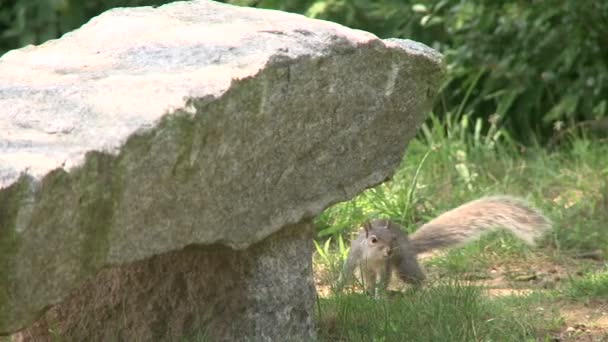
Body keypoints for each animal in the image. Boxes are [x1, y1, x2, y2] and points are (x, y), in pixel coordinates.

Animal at [338, 196, 552, 296]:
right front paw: (338, 289)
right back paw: (366, 292)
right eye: (373, 239)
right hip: (365, 271)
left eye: (393, 238)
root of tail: (410, 245)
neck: (374, 257)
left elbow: (383, 280)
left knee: (419, 279)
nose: (390, 251)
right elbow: (346, 272)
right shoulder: (355, 256)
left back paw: (411, 290)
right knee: (367, 279)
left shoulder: (387, 265)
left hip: (405, 266)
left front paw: (379, 297)